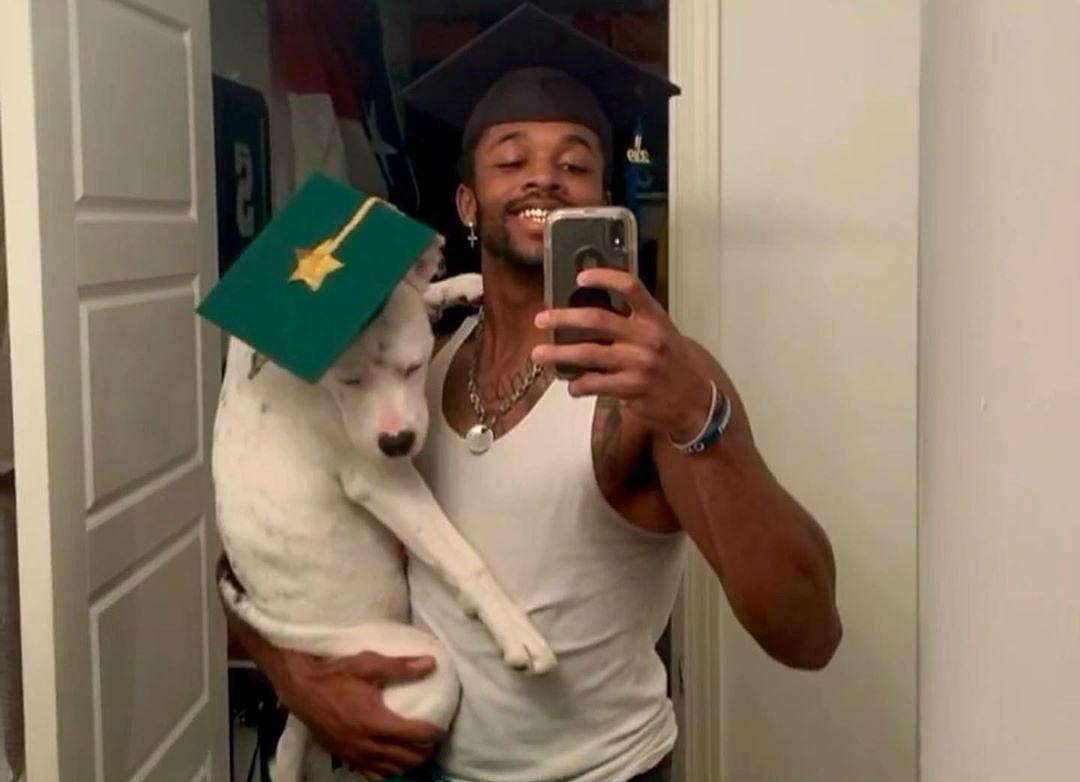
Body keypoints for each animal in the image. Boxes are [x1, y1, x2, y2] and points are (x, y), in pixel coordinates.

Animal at [211, 251, 557, 782]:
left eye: (413, 368)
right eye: (349, 381)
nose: (396, 442)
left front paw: (455, 285)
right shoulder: (381, 479)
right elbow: (461, 558)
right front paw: (513, 628)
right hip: (418, 669)